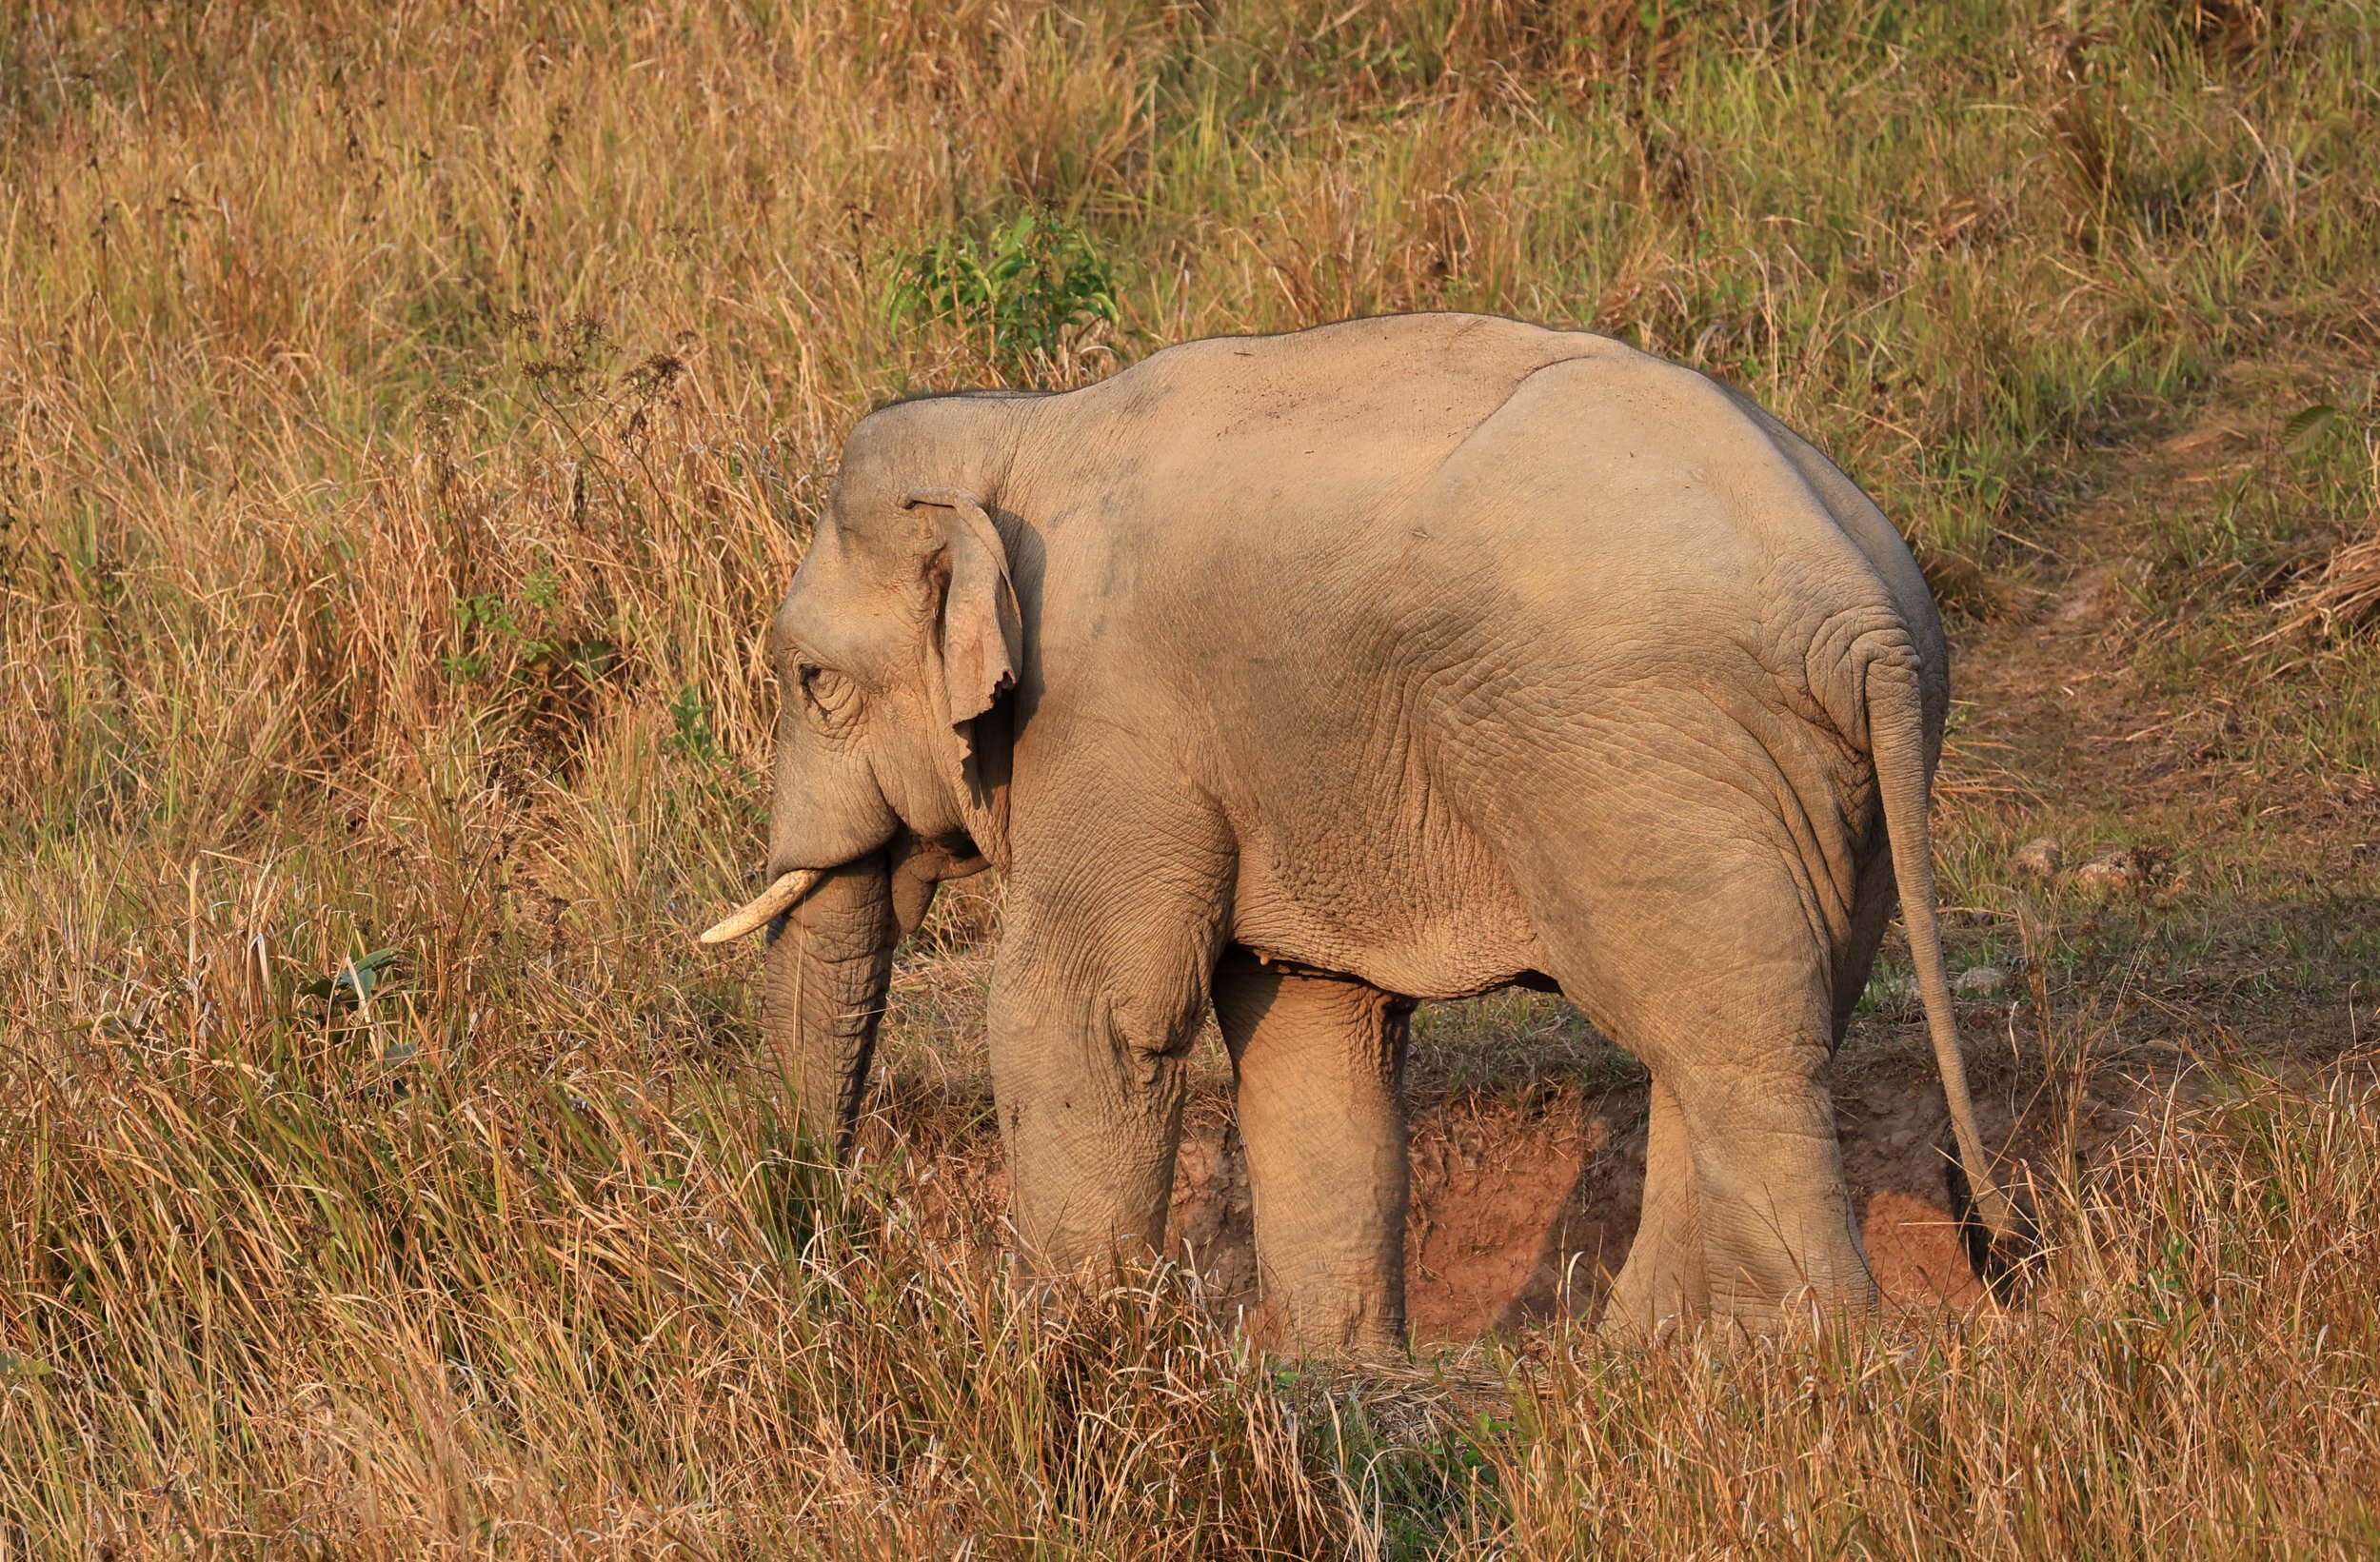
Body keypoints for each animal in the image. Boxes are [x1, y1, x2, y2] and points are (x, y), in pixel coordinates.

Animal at [699, 312, 2025, 1354]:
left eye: (814, 682)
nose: (827, 1248)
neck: (1025, 430)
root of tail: (1861, 611)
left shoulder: (1113, 718)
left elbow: (1089, 1013)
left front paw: (1070, 1352)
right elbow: (1311, 1034)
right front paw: (1341, 1366)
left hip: (1646, 750)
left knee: (1735, 1043)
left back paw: (1797, 1359)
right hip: (1825, 782)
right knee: (1738, 1030)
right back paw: (1640, 1358)